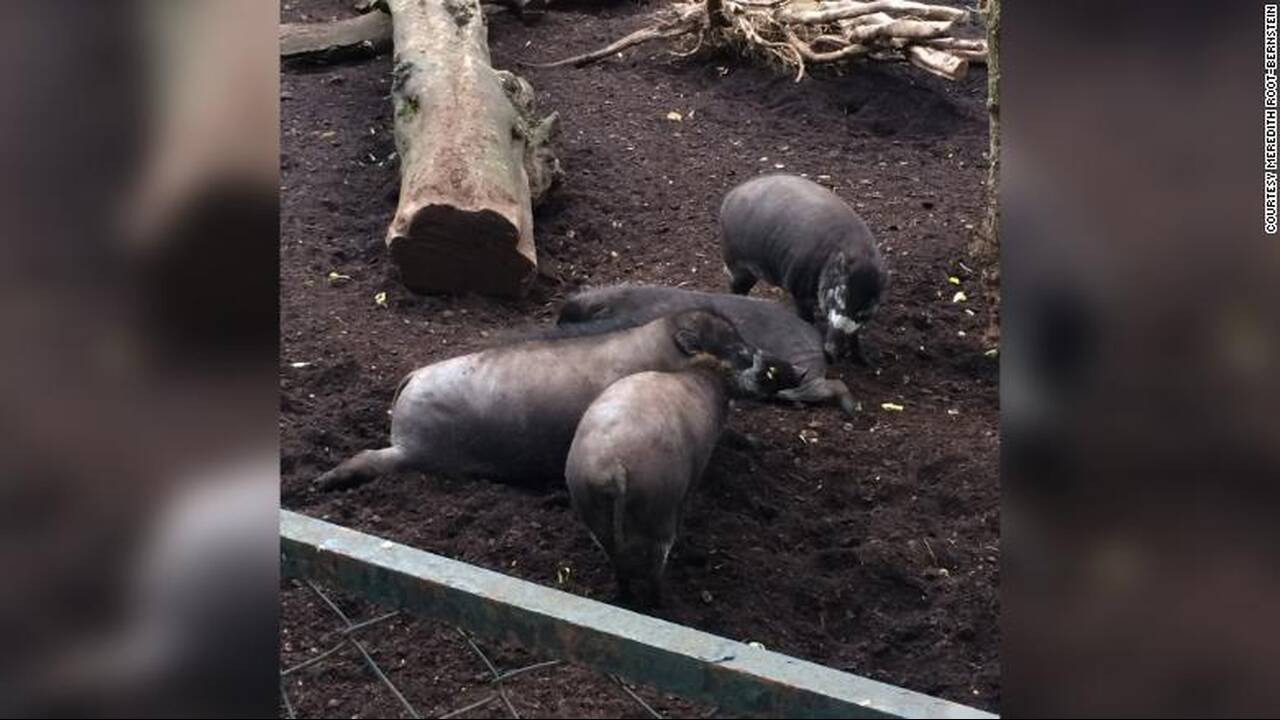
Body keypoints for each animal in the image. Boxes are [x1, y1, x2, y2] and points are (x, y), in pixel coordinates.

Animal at [314, 304, 798, 489]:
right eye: (739, 351)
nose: (788, 369)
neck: (662, 351)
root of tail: (412, 377)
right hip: (413, 451)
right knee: (370, 459)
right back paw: (322, 483)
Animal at [555, 283, 855, 412]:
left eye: (579, 317)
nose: (556, 323)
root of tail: (816, 340)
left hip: (807, 375)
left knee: (829, 387)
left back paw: (852, 408)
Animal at [568, 363, 737, 604]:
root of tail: (613, 467)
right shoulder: (691, 482)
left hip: (593, 512)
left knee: (617, 560)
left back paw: (626, 595)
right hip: (659, 512)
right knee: (657, 562)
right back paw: (660, 601)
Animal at [721, 172, 890, 361]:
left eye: (863, 310)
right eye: (839, 299)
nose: (832, 351)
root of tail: (730, 197)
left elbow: (855, 333)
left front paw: (864, 360)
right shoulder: (799, 290)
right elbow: (807, 320)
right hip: (739, 265)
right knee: (735, 287)